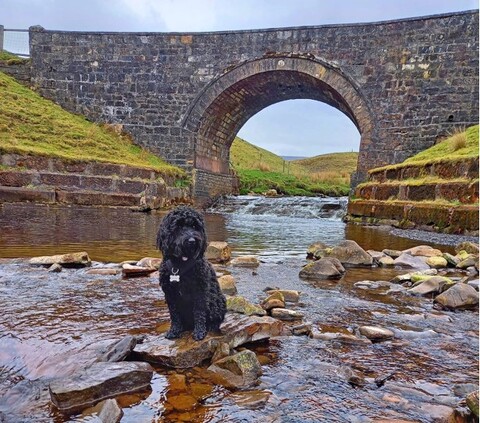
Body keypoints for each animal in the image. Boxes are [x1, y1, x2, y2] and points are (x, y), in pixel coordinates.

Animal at [156, 205, 227, 342]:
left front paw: (199, 332)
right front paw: (174, 331)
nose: (192, 240)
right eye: (178, 226)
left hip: (218, 301)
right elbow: (174, 315)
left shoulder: (199, 291)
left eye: (195, 226)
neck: (180, 265)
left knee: (215, 319)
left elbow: (199, 312)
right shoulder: (170, 294)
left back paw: (211, 327)